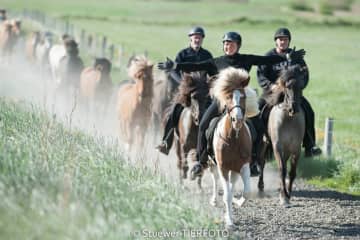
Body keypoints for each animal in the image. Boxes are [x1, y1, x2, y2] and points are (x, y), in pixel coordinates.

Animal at [208, 66, 253, 228]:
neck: (234, 138)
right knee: (215, 180)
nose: (237, 120)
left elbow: (246, 192)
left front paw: (237, 202)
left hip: (234, 170)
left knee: (232, 186)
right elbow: (226, 194)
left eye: (243, 96)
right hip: (212, 164)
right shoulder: (223, 166)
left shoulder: (243, 165)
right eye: (228, 97)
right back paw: (214, 200)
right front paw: (229, 221)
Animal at [258, 64, 306, 206]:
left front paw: (287, 194)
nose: (293, 108)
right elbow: (282, 170)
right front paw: (284, 197)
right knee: (262, 162)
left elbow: (292, 172)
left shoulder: (295, 148)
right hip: (265, 142)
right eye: (287, 87)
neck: (289, 119)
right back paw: (261, 186)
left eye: (301, 86)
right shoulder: (277, 146)